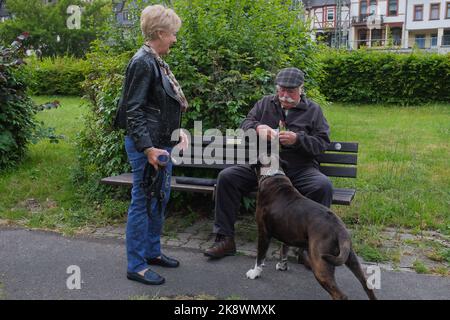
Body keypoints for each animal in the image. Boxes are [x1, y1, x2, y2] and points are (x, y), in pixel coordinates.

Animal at [246, 165, 376, 300]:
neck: (273, 176)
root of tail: (338, 227)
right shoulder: (287, 231)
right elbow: (284, 248)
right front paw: (282, 265)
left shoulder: (263, 232)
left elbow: (260, 256)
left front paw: (255, 273)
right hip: (350, 258)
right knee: (367, 286)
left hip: (320, 266)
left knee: (340, 295)